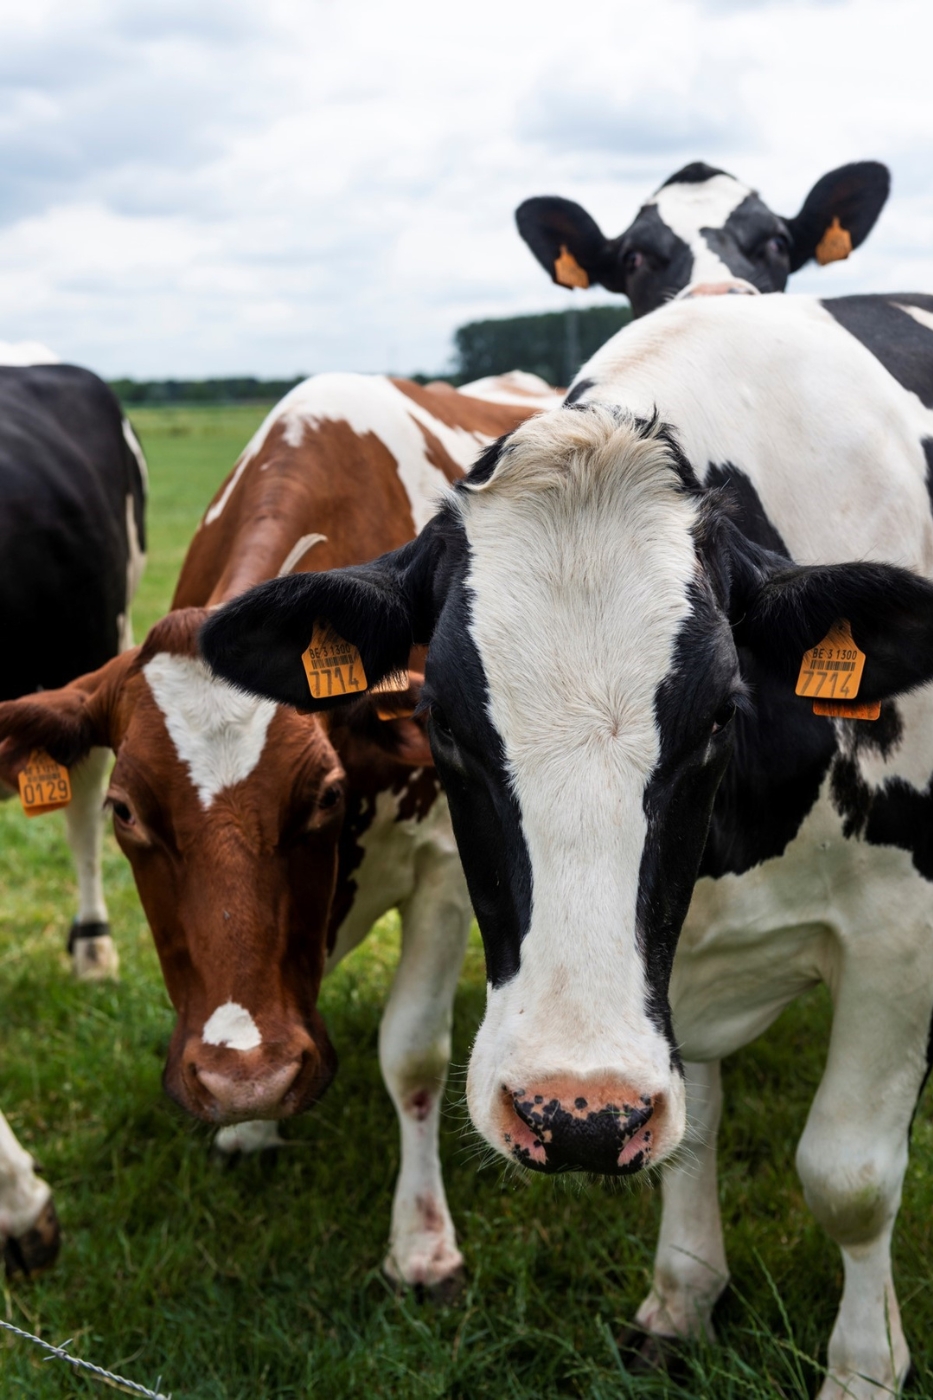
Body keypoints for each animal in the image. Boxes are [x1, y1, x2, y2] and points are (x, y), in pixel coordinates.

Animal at [201, 292, 933, 1398]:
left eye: (720, 714)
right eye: (439, 719)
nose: (573, 1114)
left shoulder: (902, 934)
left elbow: (846, 1176)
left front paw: (861, 1369)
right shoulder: (667, 984)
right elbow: (690, 1125)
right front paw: (681, 1299)